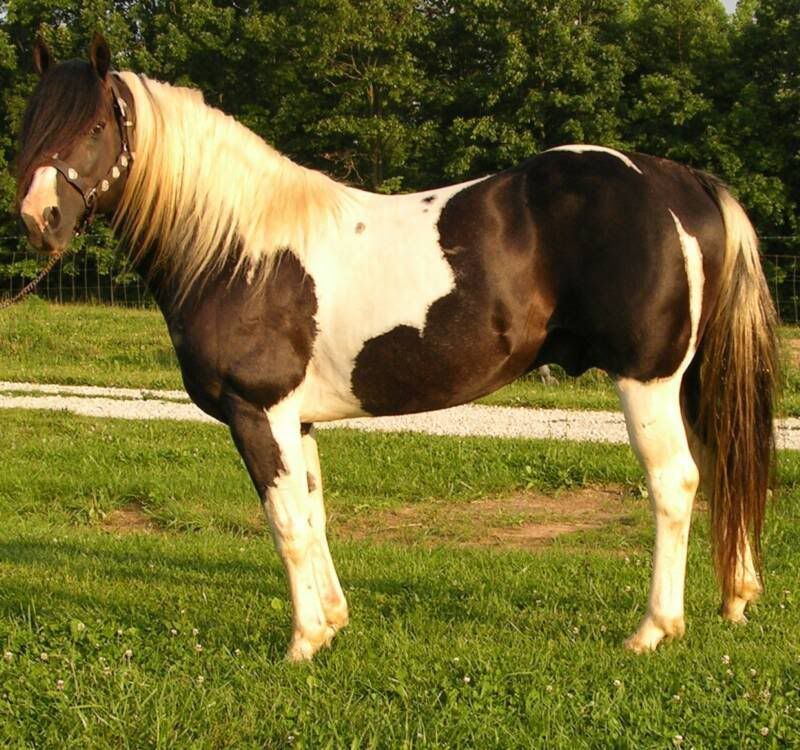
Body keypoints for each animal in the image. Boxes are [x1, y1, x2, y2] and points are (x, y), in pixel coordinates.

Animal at [18, 32, 780, 660]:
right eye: (28, 125)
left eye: (93, 127)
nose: (37, 220)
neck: (241, 251)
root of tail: (678, 183)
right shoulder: (298, 419)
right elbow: (315, 514)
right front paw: (332, 622)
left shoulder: (257, 411)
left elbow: (285, 523)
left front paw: (301, 643)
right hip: (688, 379)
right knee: (723, 465)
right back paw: (736, 598)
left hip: (646, 380)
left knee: (675, 483)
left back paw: (654, 629)